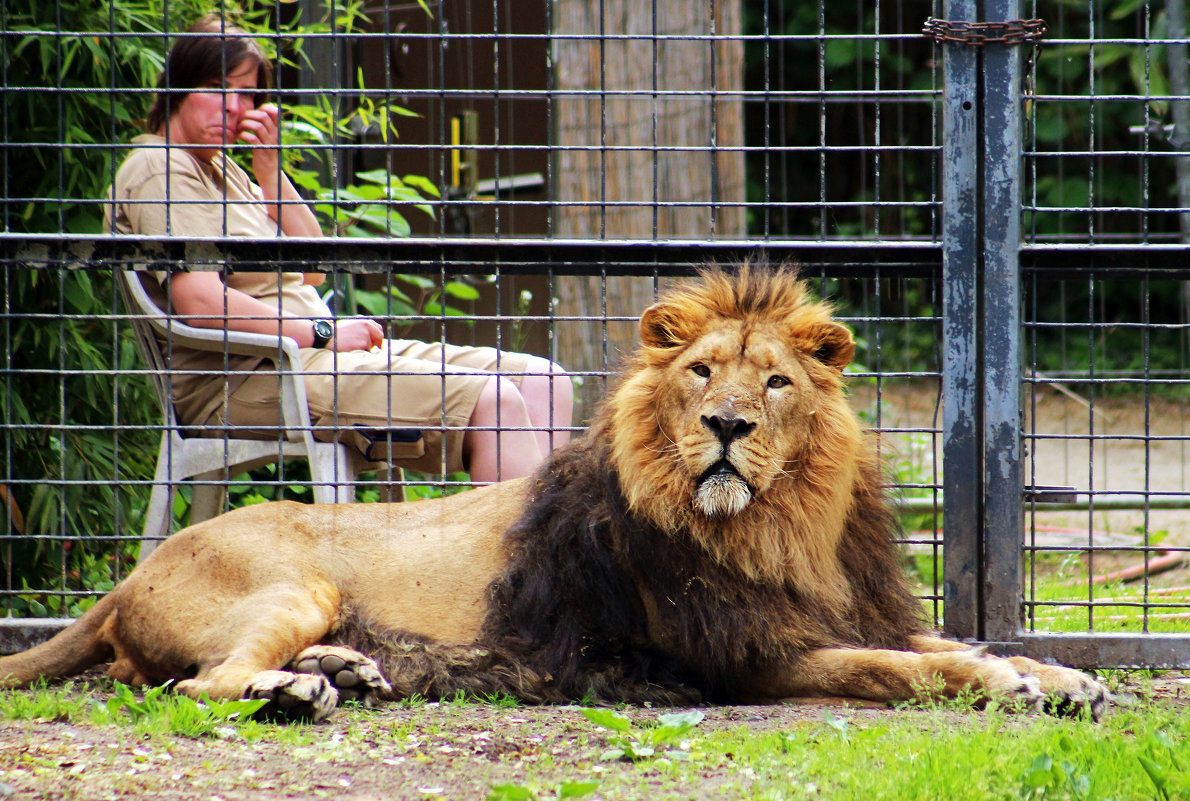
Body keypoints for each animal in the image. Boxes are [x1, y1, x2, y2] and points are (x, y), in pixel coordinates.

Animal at [0, 261, 1104, 718]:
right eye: (702, 372)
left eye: (776, 382)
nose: (728, 427)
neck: (779, 526)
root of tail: (127, 579)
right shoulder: (748, 657)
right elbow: (910, 668)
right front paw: (1009, 686)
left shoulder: (845, 605)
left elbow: (957, 641)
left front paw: (1060, 674)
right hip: (287, 582)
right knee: (200, 685)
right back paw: (298, 690)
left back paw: (348, 668)